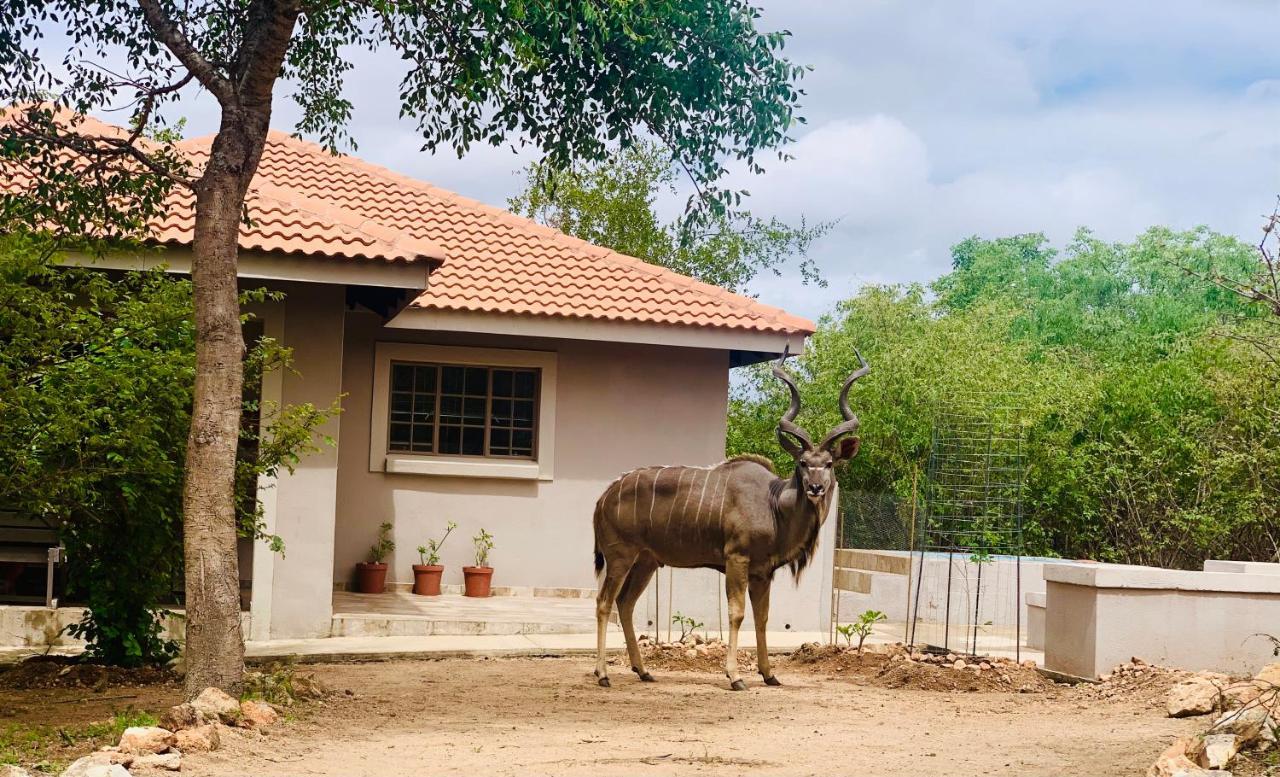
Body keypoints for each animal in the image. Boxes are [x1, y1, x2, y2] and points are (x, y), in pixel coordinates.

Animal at [588, 350, 870, 691]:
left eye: (828, 463)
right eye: (802, 462)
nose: (815, 488)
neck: (774, 504)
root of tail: (604, 497)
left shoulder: (763, 572)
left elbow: (762, 617)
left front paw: (769, 674)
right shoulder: (737, 559)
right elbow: (737, 614)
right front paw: (735, 677)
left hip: (646, 562)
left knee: (625, 603)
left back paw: (643, 671)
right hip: (620, 557)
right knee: (604, 602)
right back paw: (603, 674)